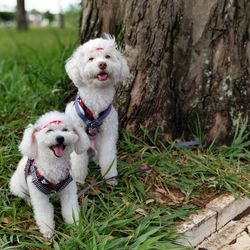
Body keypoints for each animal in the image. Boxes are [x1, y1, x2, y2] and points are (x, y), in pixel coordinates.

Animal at [64, 34, 130, 184]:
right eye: (91, 59)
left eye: (107, 57)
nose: (102, 64)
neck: (97, 95)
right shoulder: (78, 134)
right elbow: (78, 159)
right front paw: (78, 179)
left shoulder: (108, 133)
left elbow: (108, 156)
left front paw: (110, 177)